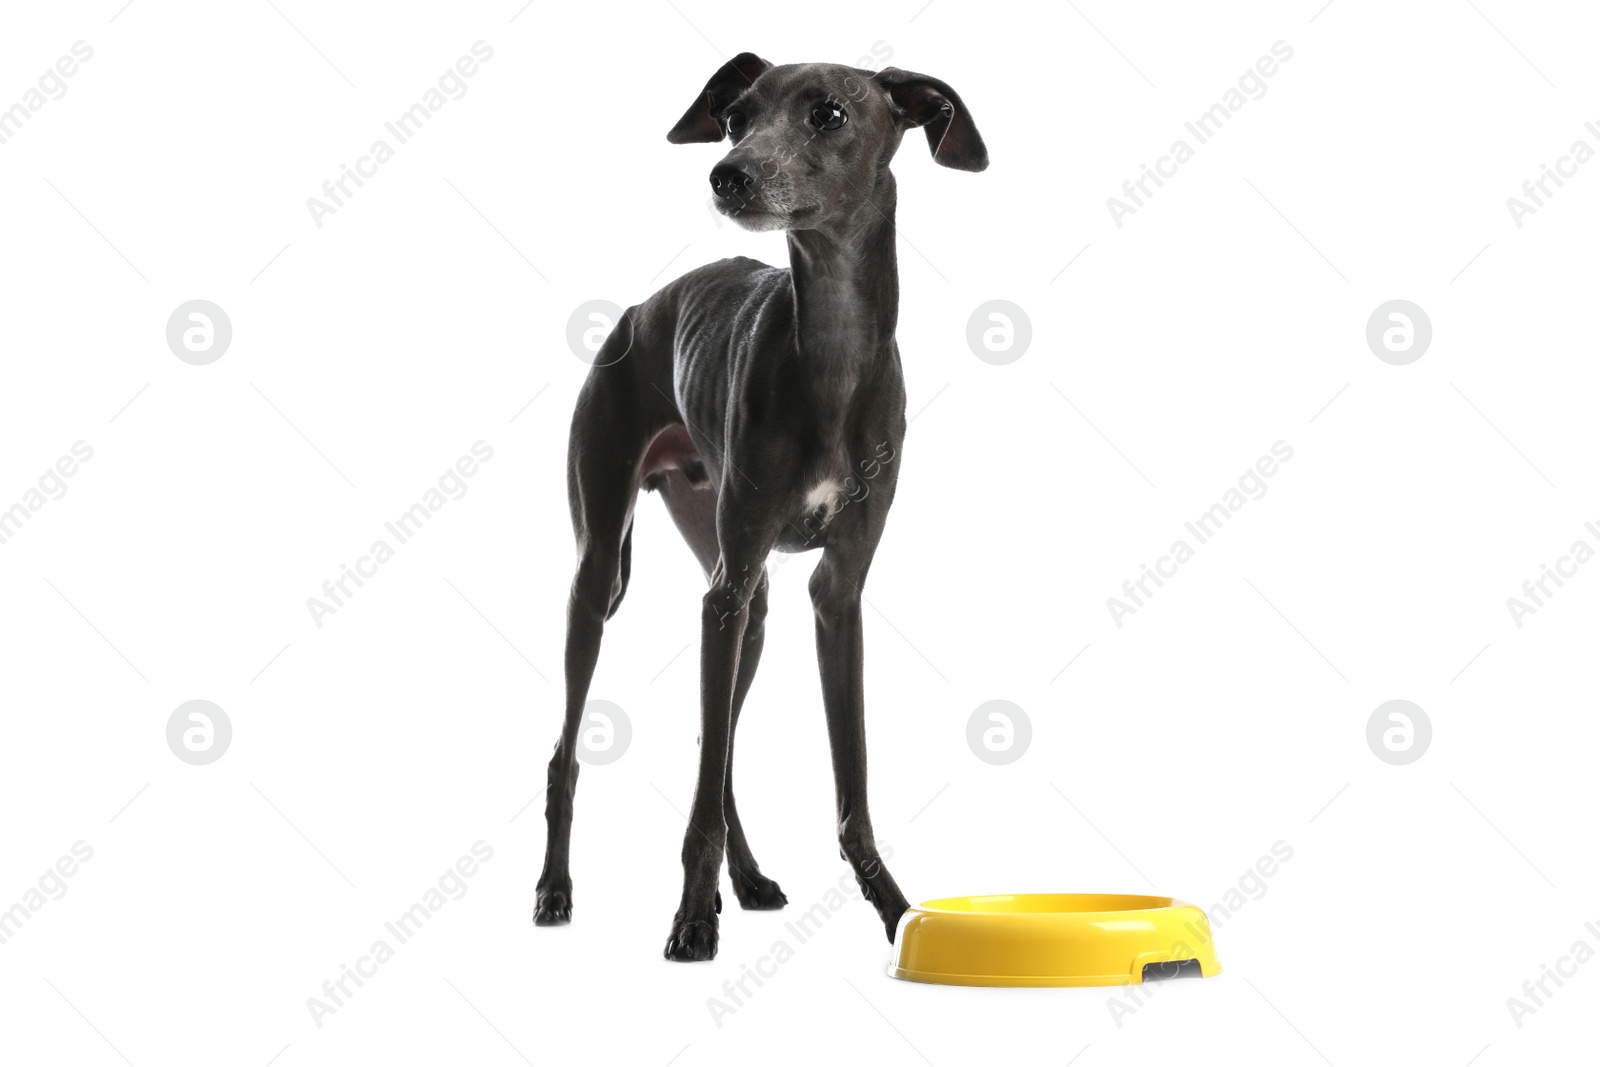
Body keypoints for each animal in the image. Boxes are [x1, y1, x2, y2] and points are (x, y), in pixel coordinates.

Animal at [537, 54, 985, 966]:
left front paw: (893, 910)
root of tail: (639, 311)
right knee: (571, 751)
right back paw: (558, 889)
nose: (727, 174)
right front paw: (688, 920)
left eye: (829, 112)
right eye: (737, 115)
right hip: (610, 573)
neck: (834, 354)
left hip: (750, 596)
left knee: (719, 752)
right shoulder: (728, 591)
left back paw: (743, 881)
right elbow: (707, 778)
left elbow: (847, 779)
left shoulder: (836, 595)